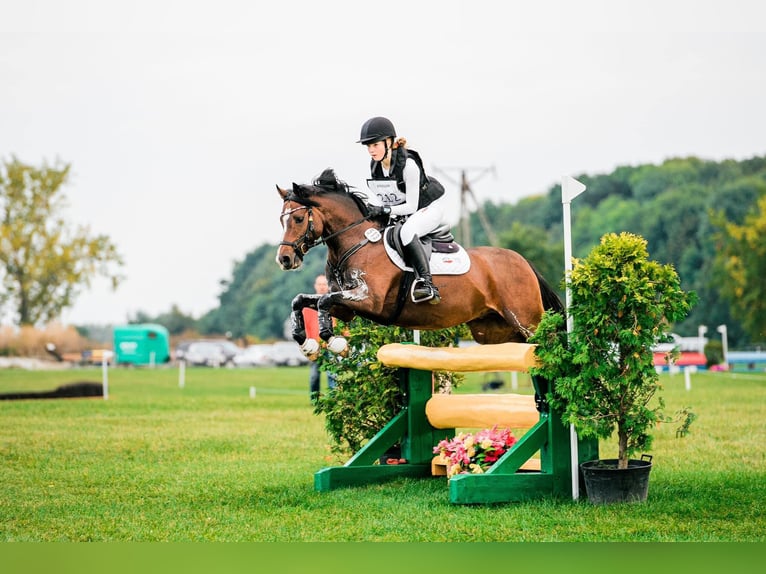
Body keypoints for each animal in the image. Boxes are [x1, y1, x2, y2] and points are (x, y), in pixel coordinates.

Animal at [276, 169, 564, 362]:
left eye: (298, 219)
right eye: (281, 220)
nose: (284, 259)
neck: (356, 241)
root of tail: (523, 261)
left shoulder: (369, 300)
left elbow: (323, 301)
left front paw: (333, 340)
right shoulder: (346, 307)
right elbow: (302, 300)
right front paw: (306, 343)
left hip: (527, 320)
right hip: (495, 329)